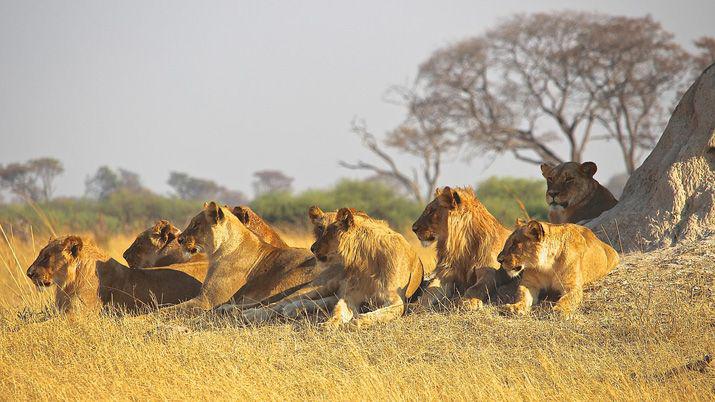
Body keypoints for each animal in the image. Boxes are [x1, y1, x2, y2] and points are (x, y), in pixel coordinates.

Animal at [164, 202, 323, 315]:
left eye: (196, 225)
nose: (180, 240)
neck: (218, 251)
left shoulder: (207, 300)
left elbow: (172, 308)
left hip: (284, 281)